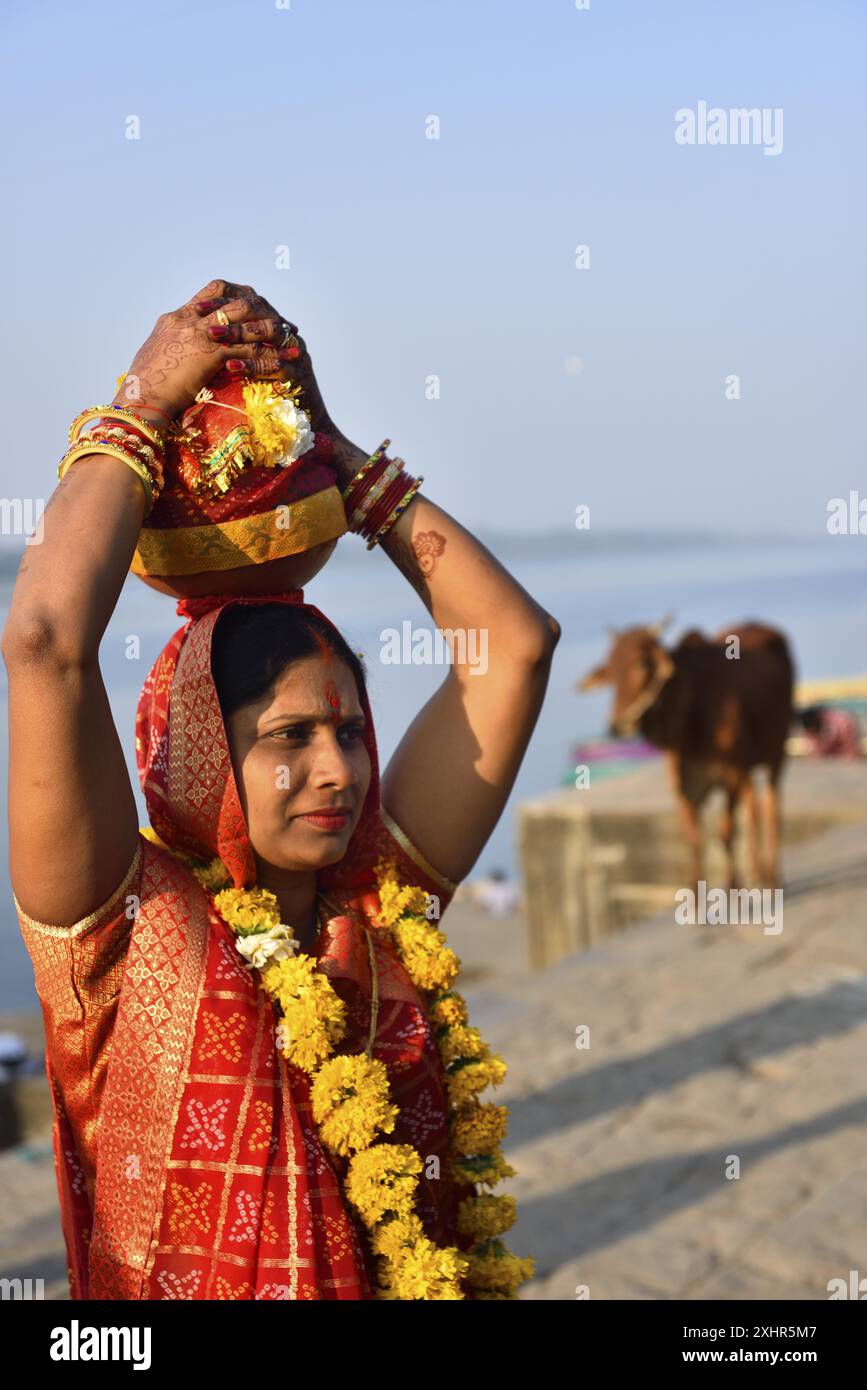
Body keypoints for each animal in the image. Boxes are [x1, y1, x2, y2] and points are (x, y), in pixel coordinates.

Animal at [578, 619, 794, 889]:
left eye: (641, 664)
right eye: (610, 672)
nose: (618, 725)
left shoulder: (731, 772)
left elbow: (725, 832)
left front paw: (733, 887)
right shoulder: (683, 784)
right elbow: (694, 838)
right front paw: (694, 893)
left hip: (776, 753)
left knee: (772, 808)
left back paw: (772, 876)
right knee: (753, 806)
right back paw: (758, 873)